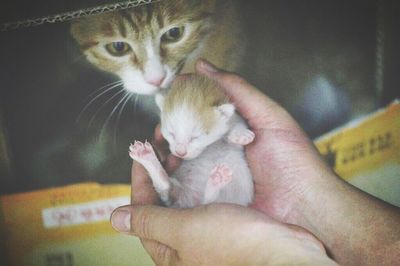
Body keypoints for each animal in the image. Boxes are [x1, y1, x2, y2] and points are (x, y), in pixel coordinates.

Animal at [129, 75, 253, 208]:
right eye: (171, 133)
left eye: (195, 137)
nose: (180, 153)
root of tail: (192, 204)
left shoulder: (235, 118)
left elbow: (238, 125)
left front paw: (241, 135)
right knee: (167, 187)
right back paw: (146, 156)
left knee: (210, 203)